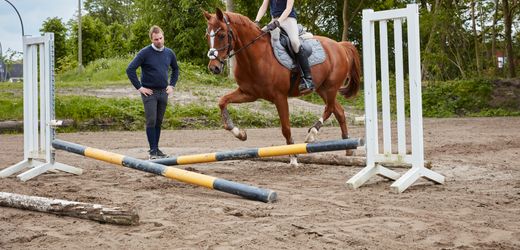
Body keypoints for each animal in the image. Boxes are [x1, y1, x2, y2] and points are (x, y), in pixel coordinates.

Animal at [204, 8, 362, 165]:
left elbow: (286, 128)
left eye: (222, 35)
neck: (257, 56)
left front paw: (293, 157)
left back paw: (312, 134)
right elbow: (222, 101)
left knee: (329, 108)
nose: (214, 68)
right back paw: (348, 147)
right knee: (339, 111)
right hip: (322, 88)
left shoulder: (279, 97)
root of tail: (340, 45)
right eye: (207, 36)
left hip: (330, 87)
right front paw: (239, 133)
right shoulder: (248, 93)